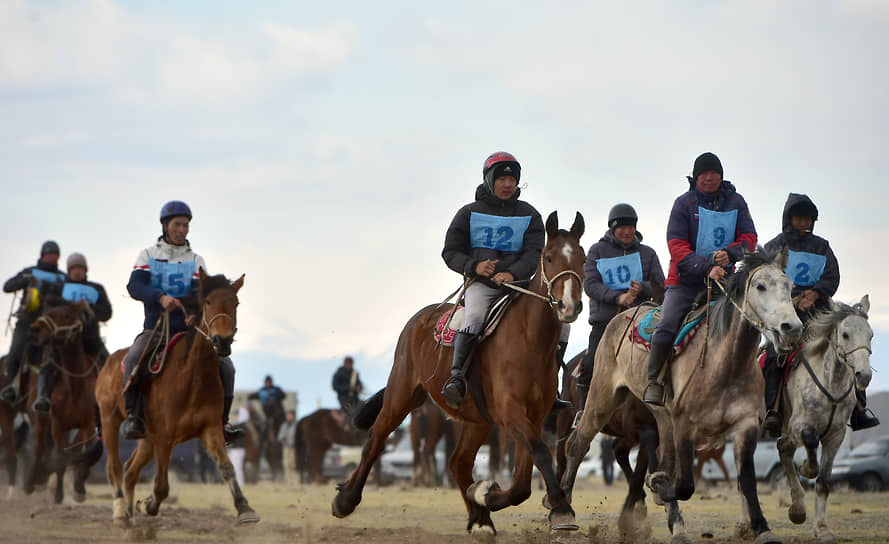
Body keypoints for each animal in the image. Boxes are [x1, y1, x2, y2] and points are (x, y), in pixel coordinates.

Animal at [22, 300, 100, 504]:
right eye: (48, 312)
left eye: (66, 315)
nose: (34, 329)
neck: (76, 386)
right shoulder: (58, 425)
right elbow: (59, 456)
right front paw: (58, 493)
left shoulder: (88, 424)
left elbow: (81, 452)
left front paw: (79, 488)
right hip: (40, 420)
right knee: (39, 447)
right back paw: (32, 482)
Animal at [96, 272, 256, 528]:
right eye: (208, 302)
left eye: (236, 303)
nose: (222, 341)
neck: (192, 377)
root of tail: (110, 361)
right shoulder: (164, 437)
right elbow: (161, 486)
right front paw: (147, 504)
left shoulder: (210, 429)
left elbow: (227, 467)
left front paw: (245, 508)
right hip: (110, 422)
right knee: (115, 468)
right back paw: (121, 512)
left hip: (147, 439)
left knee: (130, 470)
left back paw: (130, 514)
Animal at [332, 210, 584, 532]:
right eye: (549, 257)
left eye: (582, 257)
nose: (568, 306)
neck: (530, 341)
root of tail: (421, 317)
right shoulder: (511, 412)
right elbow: (538, 455)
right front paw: (560, 509)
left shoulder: (534, 417)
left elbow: (523, 480)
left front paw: (485, 495)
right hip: (402, 395)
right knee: (376, 438)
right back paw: (345, 500)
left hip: (478, 418)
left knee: (458, 462)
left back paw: (480, 519)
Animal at [560, 248, 804, 544]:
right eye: (760, 286)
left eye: (790, 287)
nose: (792, 327)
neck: (724, 364)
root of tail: (619, 319)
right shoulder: (685, 425)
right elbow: (685, 484)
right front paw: (660, 488)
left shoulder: (745, 426)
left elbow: (746, 480)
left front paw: (762, 528)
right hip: (601, 400)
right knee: (577, 444)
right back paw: (563, 509)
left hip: (661, 419)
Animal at [772, 296, 872, 540]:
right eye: (845, 334)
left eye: (871, 335)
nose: (864, 376)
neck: (830, 384)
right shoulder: (799, 425)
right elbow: (810, 441)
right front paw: (806, 468)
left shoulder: (836, 435)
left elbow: (824, 481)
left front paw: (822, 529)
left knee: (784, 448)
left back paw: (797, 510)